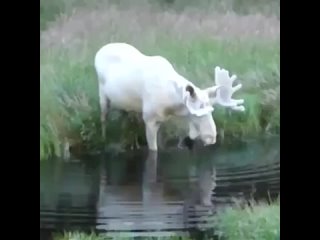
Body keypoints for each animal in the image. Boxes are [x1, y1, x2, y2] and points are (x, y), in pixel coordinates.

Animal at [94, 42, 244, 151]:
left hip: (123, 103)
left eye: (212, 109)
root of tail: (99, 51)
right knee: (103, 118)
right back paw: (103, 139)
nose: (212, 137)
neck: (172, 105)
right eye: (197, 113)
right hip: (102, 95)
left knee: (123, 117)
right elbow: (153, 149)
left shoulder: (162, 119)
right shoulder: (149, 119)